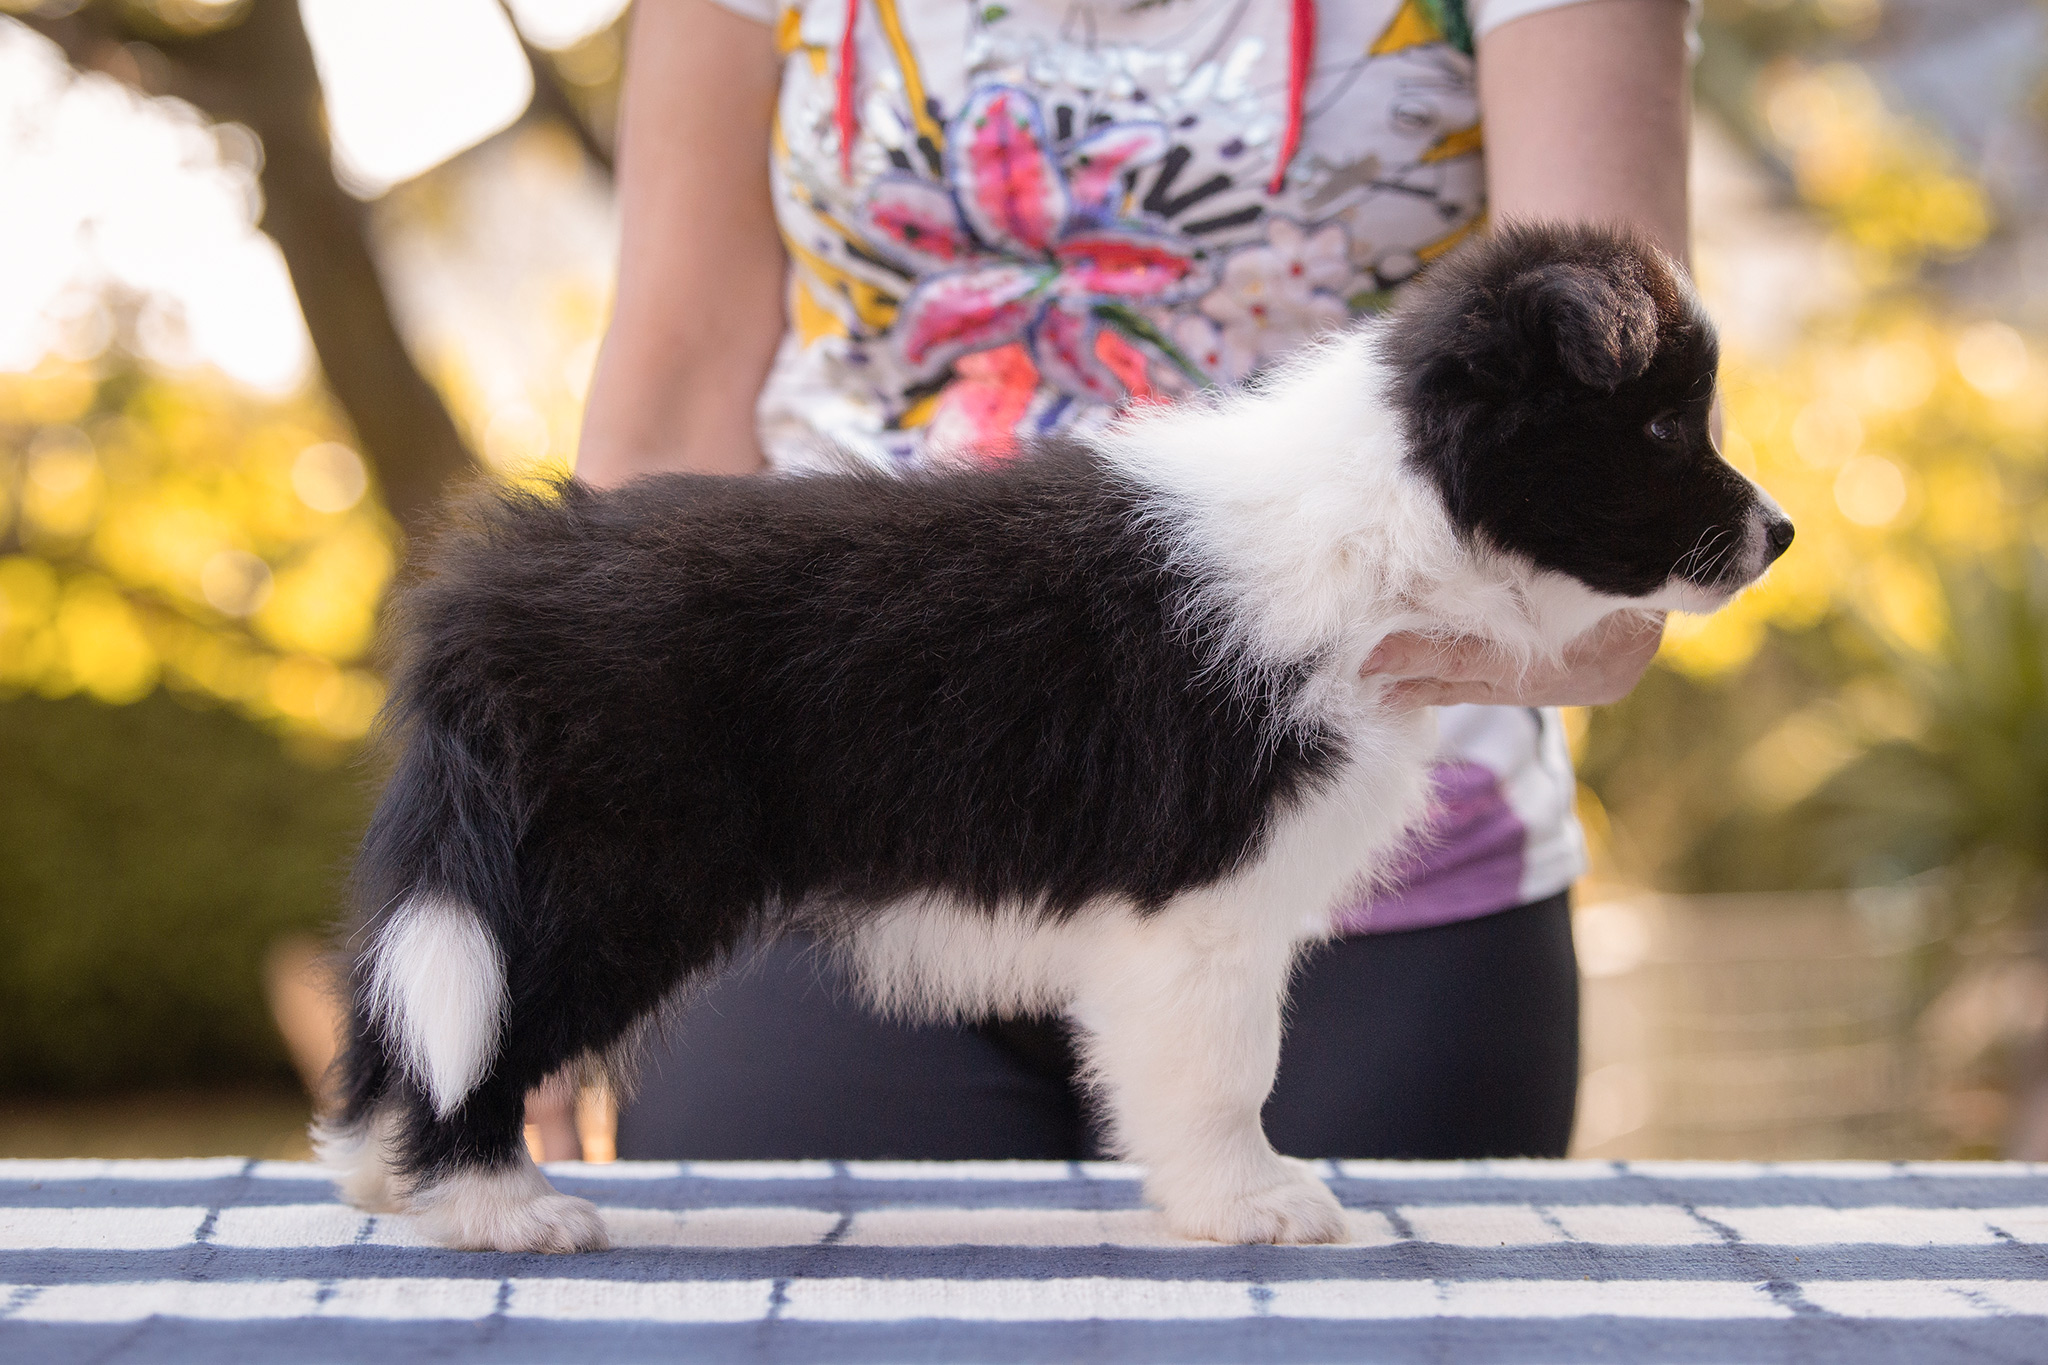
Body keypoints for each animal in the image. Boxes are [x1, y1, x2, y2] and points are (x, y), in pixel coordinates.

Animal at [319, 222, 1794, 1252]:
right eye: (1660, 424)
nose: (1780, 534)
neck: (1395, 510)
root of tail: (491, 593)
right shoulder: (1203, 899)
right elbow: (1226, 1067)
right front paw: (1249, 1203)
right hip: (614, 869)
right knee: (489, 1019)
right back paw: (494, 1206)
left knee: (410, 1005)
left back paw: (388, 1177)